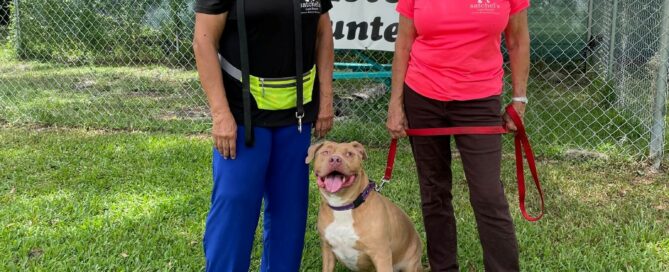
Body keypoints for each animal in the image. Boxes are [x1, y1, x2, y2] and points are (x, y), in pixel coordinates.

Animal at [304, 141, 420, 270]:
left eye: (349, 154)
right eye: (325, 152)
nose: (335, 159)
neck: (344, 206)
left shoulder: (381, 255)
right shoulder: (327, 250)